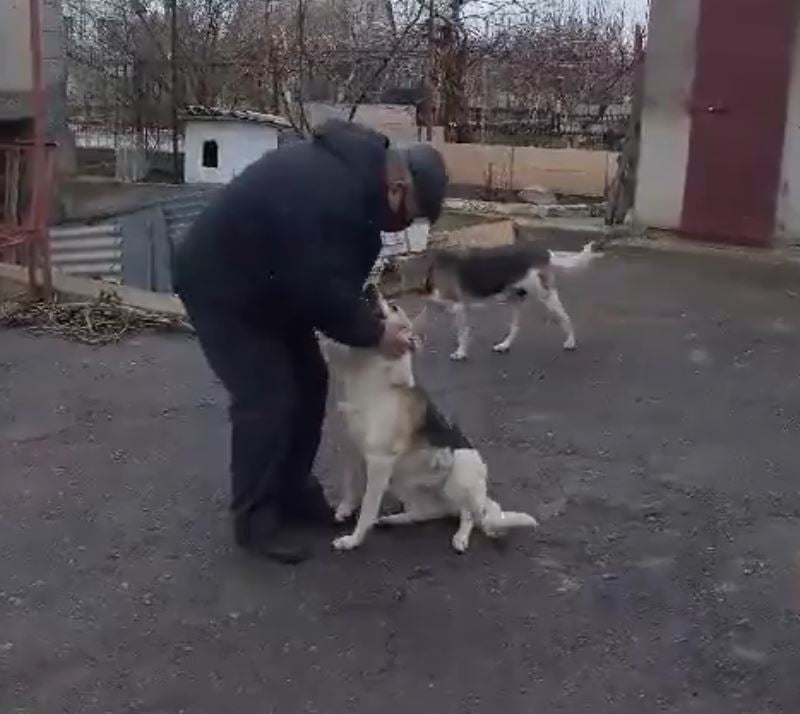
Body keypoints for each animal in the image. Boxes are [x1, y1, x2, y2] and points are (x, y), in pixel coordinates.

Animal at [324, 282, 536, 552]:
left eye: (393, 306)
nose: (370, 284)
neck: (371, 374)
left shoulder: (380, 461)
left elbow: (368, 507)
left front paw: (353, 539)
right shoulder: (352, 448)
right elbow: (351, 485)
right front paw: (345, 509)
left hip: (460, 468)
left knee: (468, 514)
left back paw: (461, 537)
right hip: (403, 482)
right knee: (427, 514)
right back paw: (394, 519)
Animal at [424, 231, 600, 358]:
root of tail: (544, 253)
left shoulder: (458, 305)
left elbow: (462, 332)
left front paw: (460, 353)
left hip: (545, 296)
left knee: (566, 317)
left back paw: (571, 342)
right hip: (514, 299)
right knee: (515, 327)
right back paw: (504, 345)